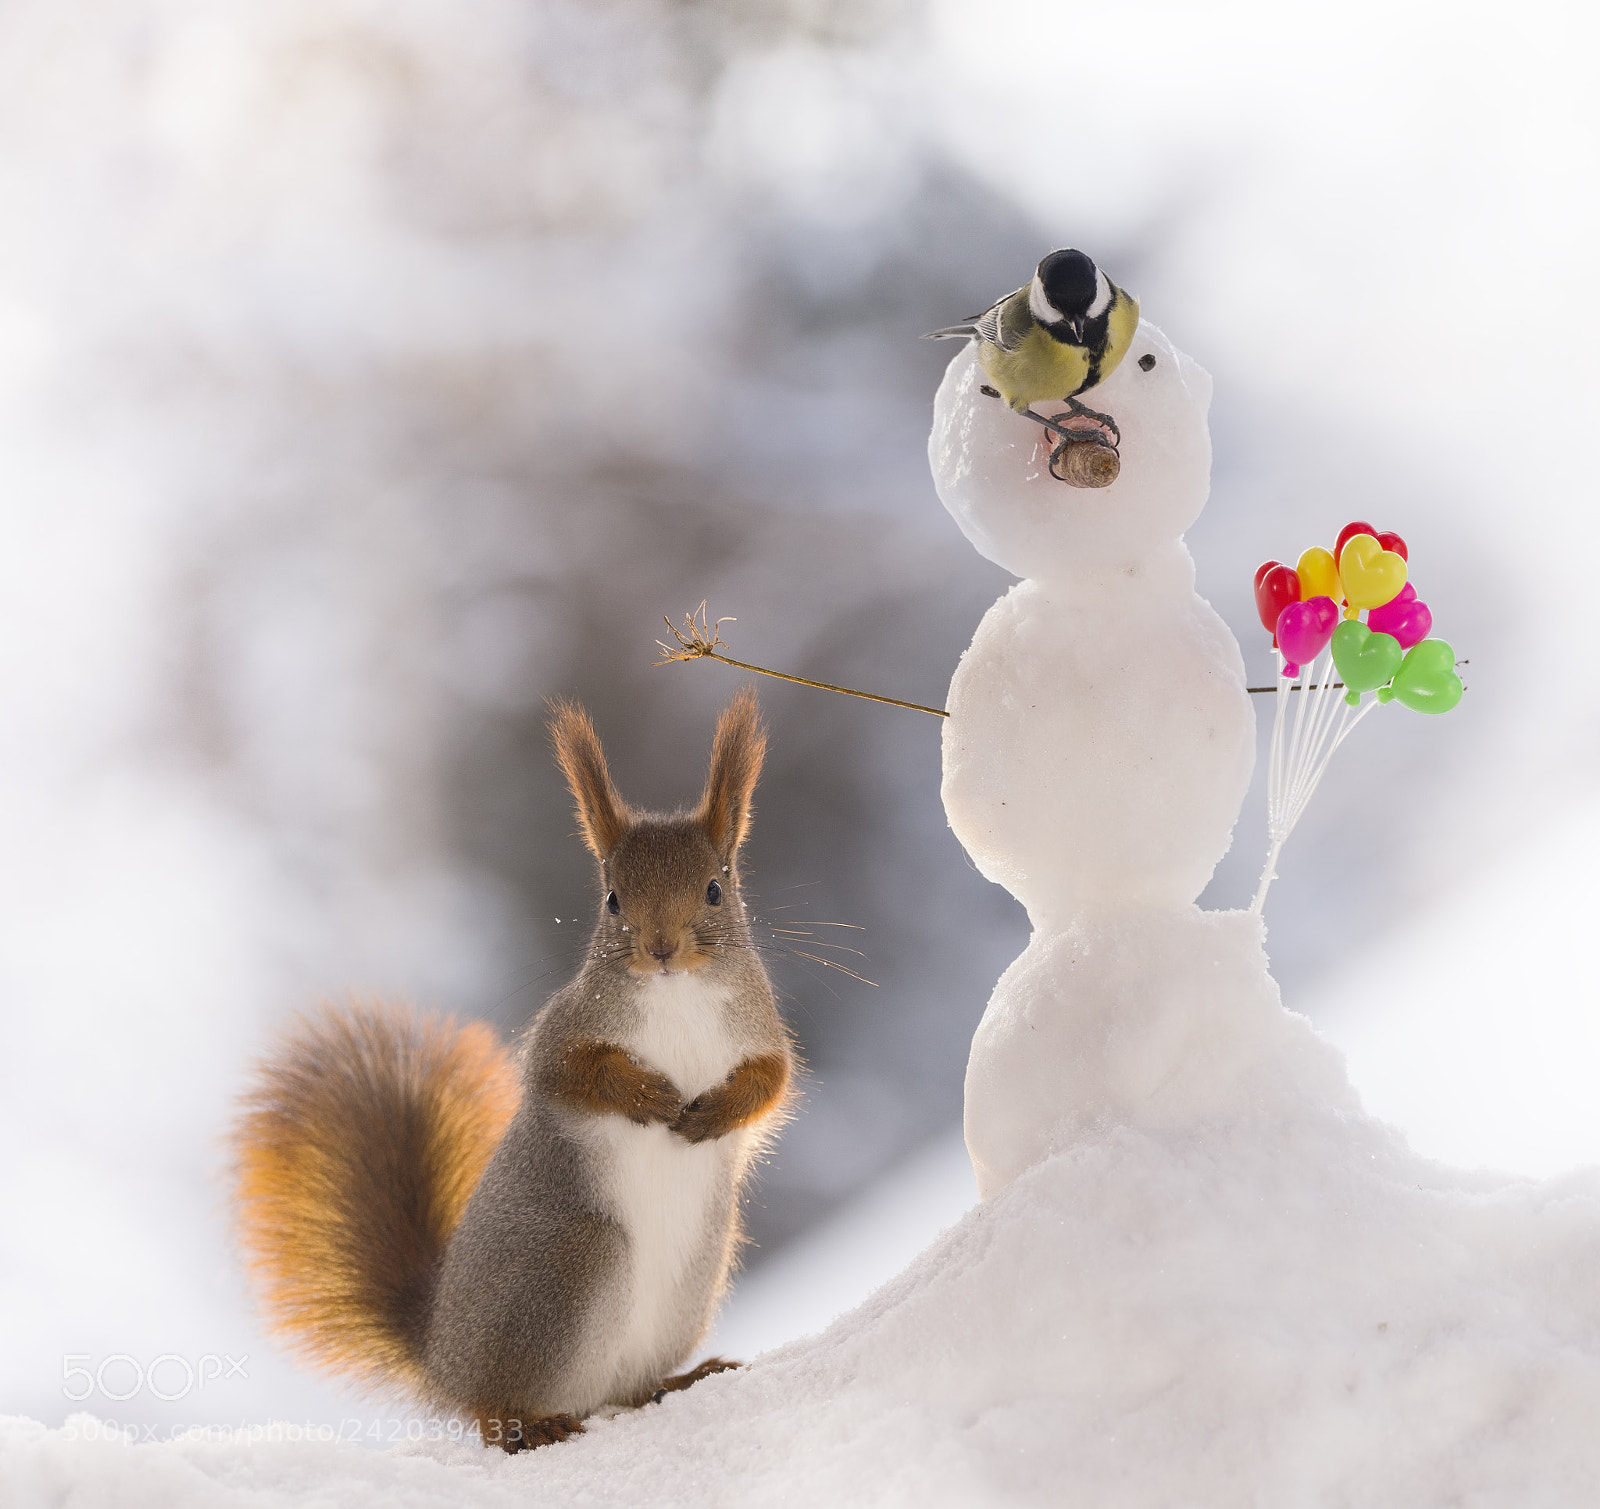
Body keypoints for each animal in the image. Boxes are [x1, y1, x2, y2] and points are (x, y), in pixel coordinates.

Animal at [231, 688, 794, 1451]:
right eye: (612, 897)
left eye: (715, 888)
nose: (661, 948)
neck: (677, 994)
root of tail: (443, 1354)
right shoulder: (564, 1033)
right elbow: (569, 1076)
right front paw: (645, 1093)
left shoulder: (760, 1033)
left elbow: (772, 1082)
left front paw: (719, 1110)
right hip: (570, 1265)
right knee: (494, 1407)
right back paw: (530, 1423)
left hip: (691, 1281)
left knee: (630, 1388)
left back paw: (680, 1380)